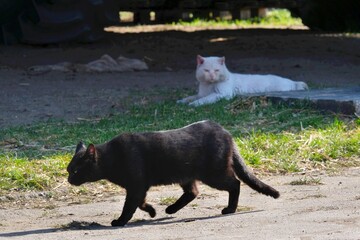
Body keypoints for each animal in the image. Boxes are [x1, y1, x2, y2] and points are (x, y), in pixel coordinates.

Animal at [67, 121, 282, 226]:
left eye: (76, 170)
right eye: (69, 170)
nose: (69, 179)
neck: (112, 158)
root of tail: (225, 131)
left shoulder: (136, 185)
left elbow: (130, 206)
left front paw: (119, 222)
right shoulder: (139, 186)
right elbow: (140, 203)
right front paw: (152, 211)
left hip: (214, 174)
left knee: (235, 183)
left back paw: (230, 209)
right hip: (187, 175)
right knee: (193, 192)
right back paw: (171, 209)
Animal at [177, 55, 306, 106]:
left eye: (217, 70)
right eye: (207, 70)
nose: (212, 76)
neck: (209, 85)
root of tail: (292, 82)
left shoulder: (222, 94)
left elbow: (205, 99)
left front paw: (194, 104)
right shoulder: (201, 94)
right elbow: (191, 97)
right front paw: (182, 101)